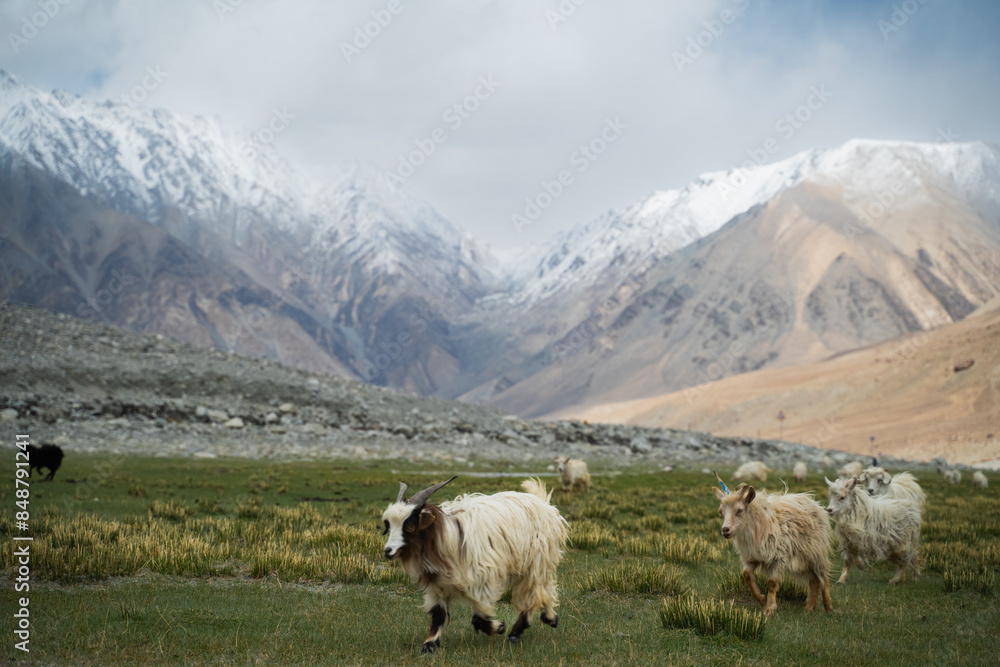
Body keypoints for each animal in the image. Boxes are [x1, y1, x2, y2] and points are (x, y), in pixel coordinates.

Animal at [381, 476, 568, 654]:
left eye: (410, 526)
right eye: (389, 525)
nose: (388, 551)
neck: (449, 540)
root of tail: (542, 502)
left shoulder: (483, 580)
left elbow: (478, 618)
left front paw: (499, 627)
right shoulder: (437, 584)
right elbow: (439, 615)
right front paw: (429, 644)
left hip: (535, 562)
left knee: (536, 591)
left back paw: (521, 629)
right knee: (544, 588)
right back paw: (549, 618)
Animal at [712, 483, 833, 616]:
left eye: (739, 510)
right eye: (720, 512)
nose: (725, 530)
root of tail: (815, 504)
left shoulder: (778, 558)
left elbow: (771, 583)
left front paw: (769, 608)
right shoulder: (753, 557)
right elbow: (746, 574)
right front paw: (760, 598)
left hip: (816, 553)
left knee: (824, 576)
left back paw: (828, 606)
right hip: (802, 561)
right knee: (814, 580)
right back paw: (809, 607)